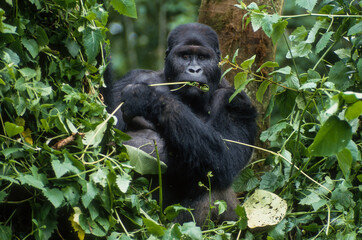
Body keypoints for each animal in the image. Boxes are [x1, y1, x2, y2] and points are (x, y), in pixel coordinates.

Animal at [102, 23, 258, 226]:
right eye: (185, 56)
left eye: (203, 57)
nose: (194, 70)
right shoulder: (132, 77)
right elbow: (107, 135)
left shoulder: (237, 100)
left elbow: (225, 158)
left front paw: (145, 98)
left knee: (214, 185)